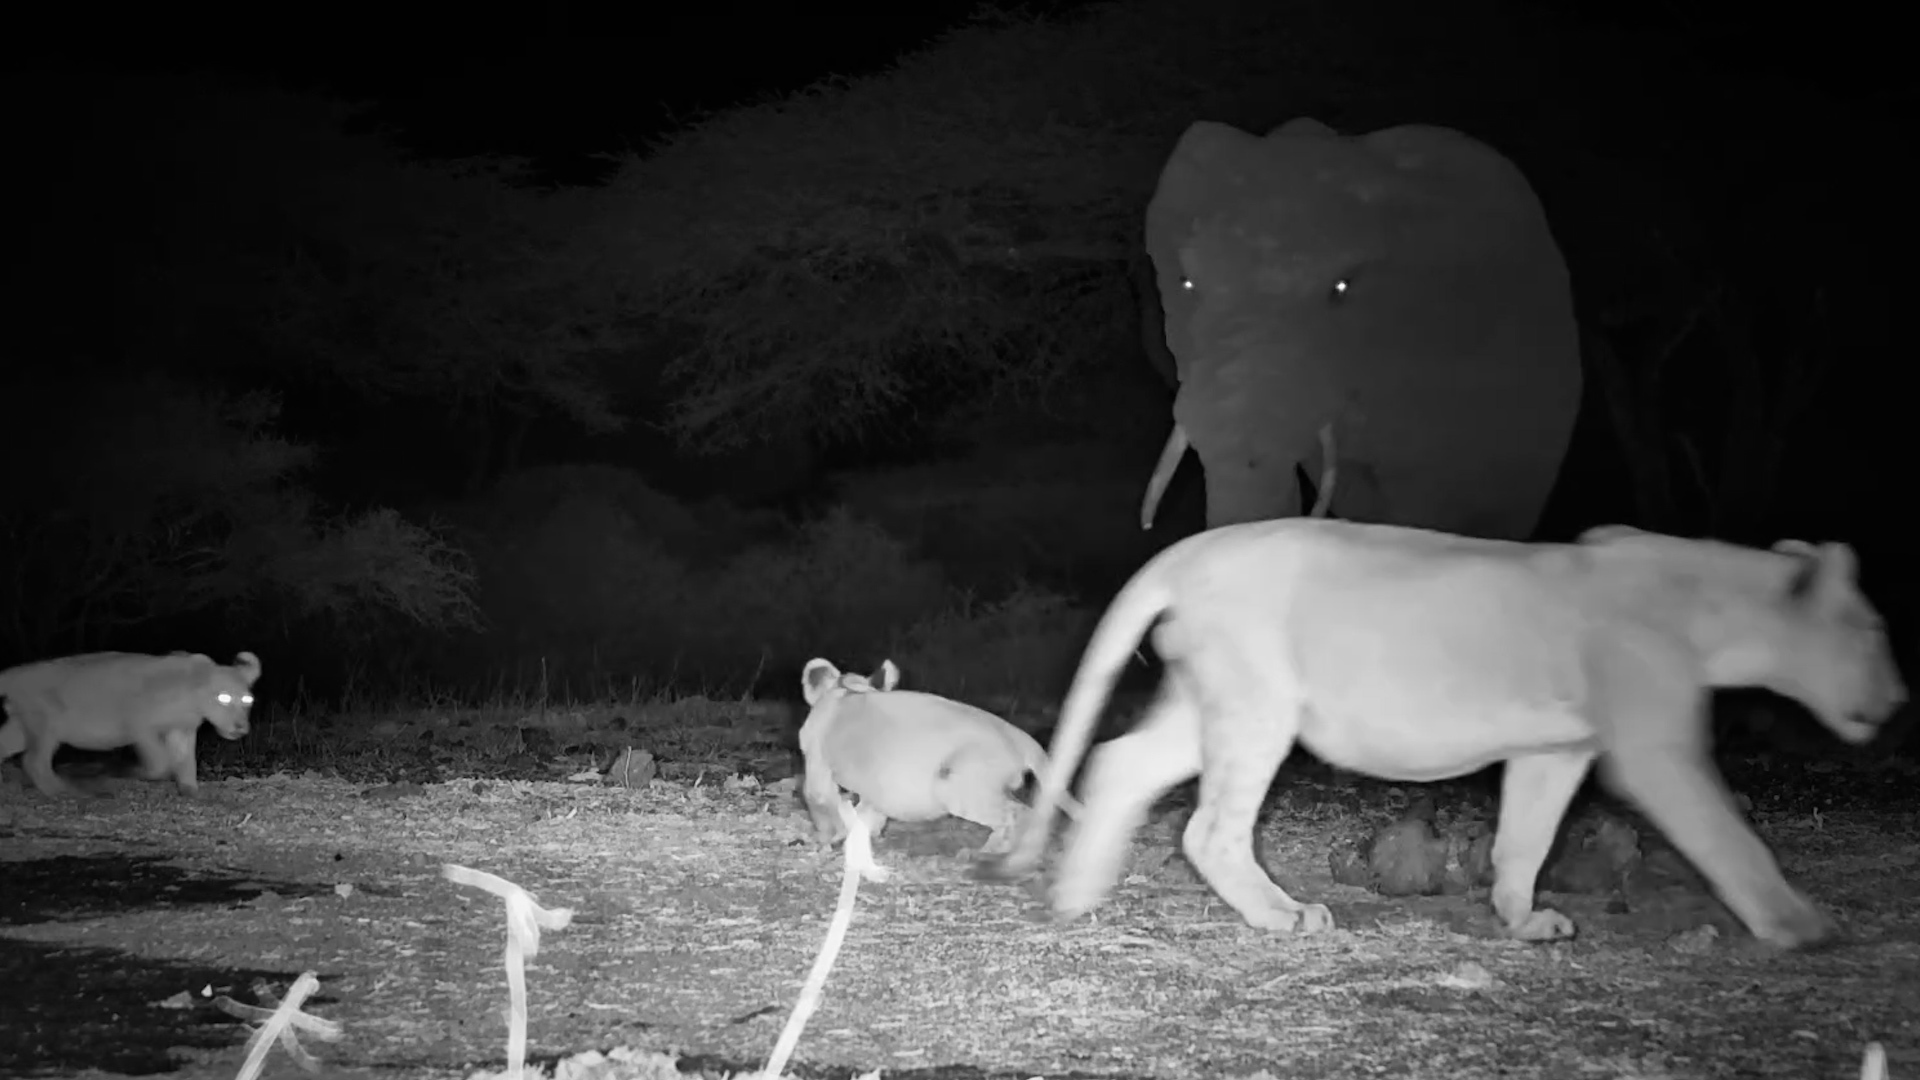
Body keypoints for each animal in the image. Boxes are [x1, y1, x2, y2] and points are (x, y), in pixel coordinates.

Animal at [0, 650, 261, 798]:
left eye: (247, 700)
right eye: (223, 697)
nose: (241, 727)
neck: (190, 697)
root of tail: (11, 675)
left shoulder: (182, 729)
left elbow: (186, 761)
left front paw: (190, 791)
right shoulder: (139, 725)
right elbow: (160, 763)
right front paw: (131, 772)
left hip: (21, 729)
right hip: (45, 725)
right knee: (34, 761)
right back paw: (63, 791)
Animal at [798, 658, 1080, 853]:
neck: (847, 692)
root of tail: (1020, 735)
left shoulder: (817, 767)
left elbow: (822, 806)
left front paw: (826, 841)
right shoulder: (876, 786)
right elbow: (866, 814)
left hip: (955, 783)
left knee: (1018, 814)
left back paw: (986, 853)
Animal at [975, 519, 1905, 949]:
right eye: (1869, 630)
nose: (1898, 701)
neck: (1714, 607)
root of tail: (1188, 552)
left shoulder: (1554, 747)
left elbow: (1527, 837)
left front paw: (1524, 922)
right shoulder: (1655, 749)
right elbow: (1730, 837)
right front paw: (1800, 925)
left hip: (1205, 705)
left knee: (1120, 762)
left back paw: (1077, 895)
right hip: (1258, 706)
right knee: (1209, 828)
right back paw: (1284, 916)